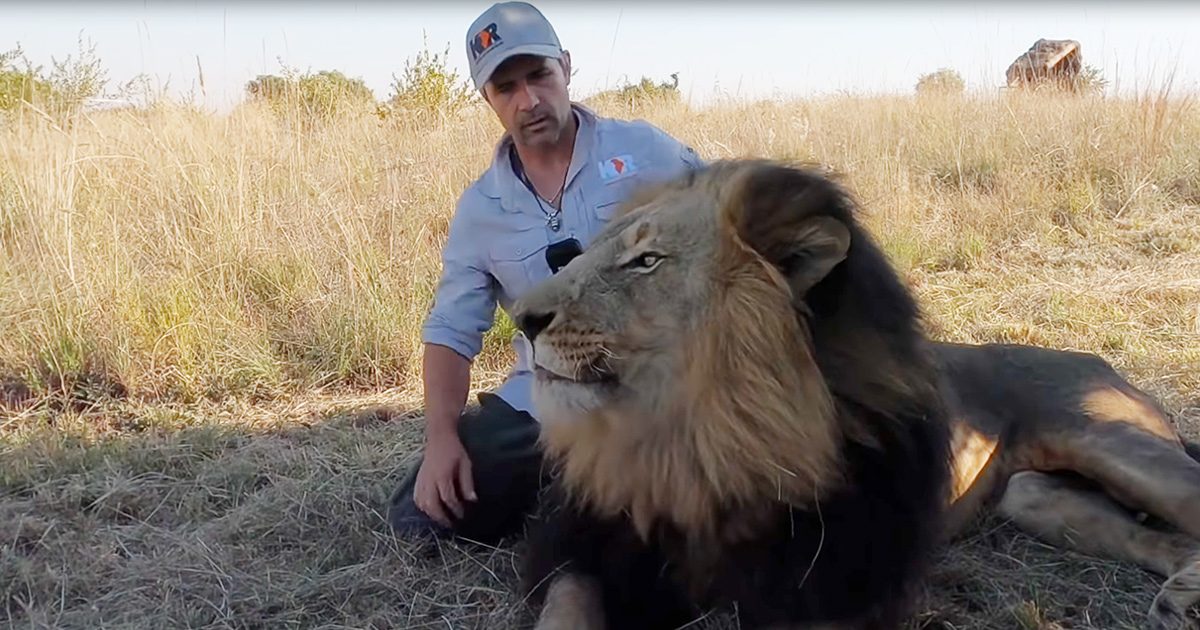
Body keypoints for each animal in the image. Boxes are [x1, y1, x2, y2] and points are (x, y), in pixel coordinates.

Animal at [509, 160, 1200, 630]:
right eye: (574, 255)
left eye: (646, 261)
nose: (522, 319)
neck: (693, 437)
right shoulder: (584, 545)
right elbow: (567, 608)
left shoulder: (837, 584)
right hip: (1029, 495)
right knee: (1161, 538)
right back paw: (1181, 594)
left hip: (1106, 437)